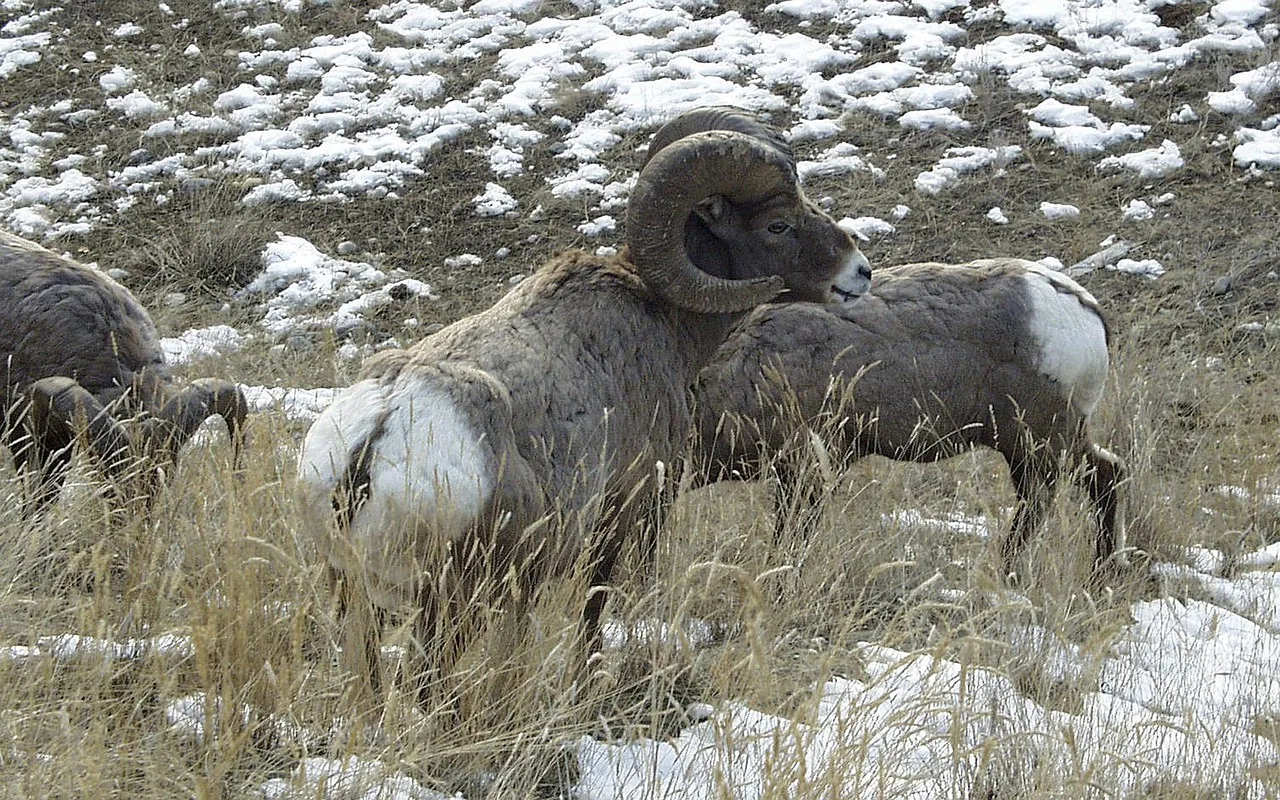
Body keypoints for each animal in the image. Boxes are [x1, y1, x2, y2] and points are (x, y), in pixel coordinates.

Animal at [296, 104, 880, 706]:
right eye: (778, 225)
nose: (859, 272)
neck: (662, 320)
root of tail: (377, 439)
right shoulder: (627, 509)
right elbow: (594, 606)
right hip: (450, 603)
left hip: (356, 600)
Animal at [696, 258, 1126, 576]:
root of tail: (1081, 306)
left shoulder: (808, 468)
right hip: (1037, 444)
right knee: (1095, 479)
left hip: (1040, 439)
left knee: (1077, 488)